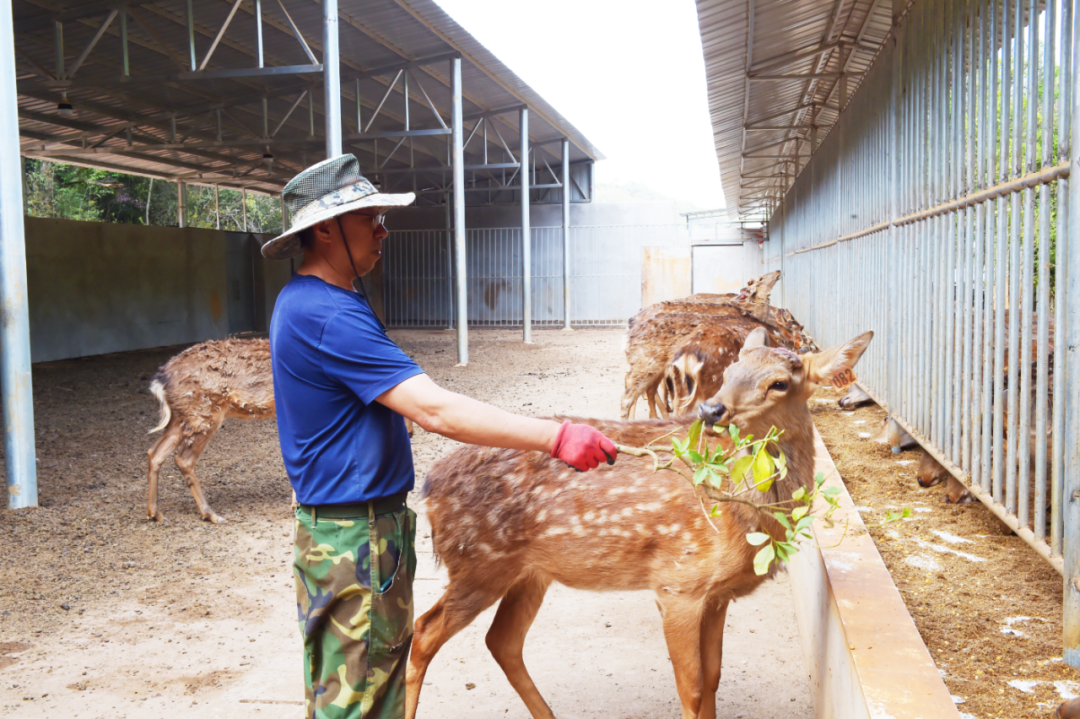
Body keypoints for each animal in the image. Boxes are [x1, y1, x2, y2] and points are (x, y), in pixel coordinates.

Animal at [408, 326, 872, 716]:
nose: (711, 409)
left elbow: (714, 677)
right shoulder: (677, 582)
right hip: (478, 563)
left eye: (779, 383)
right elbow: (692, 687)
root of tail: (430, 486)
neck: (739, 517)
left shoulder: (717, 593)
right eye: (730, 371)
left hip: (529, 573)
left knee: (501, 641)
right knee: (423, 631)